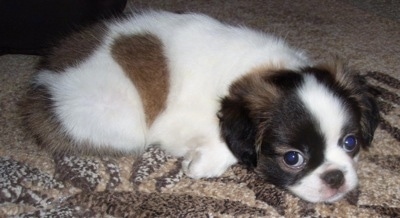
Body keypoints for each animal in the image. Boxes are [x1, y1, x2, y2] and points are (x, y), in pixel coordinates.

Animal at [23, 10, 380, 203]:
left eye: (350, 142)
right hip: (125, 124)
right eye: (292, 158)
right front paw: (202, 164)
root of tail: (42, 86)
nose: (335, 177)